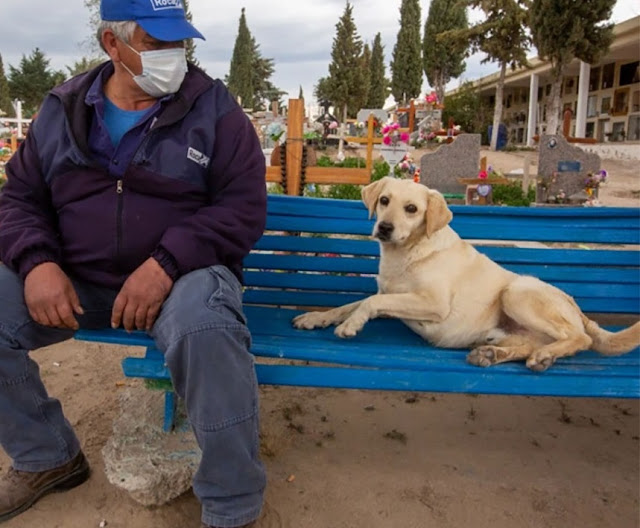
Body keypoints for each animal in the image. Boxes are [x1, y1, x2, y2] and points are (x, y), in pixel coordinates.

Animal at [292, 177, 640, 372]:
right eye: (384, 201)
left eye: (412, 209)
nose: (385, 228)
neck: (406, 254)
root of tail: (579, 311)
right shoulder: (388, 293)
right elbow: (351, 304)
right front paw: (316, 318)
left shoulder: (433, 303)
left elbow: (367, 304)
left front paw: (350, 326)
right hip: (511, 329)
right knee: (531, 346)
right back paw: (496, 355)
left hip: (516, 292)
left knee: (579, 338)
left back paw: (543, 355)